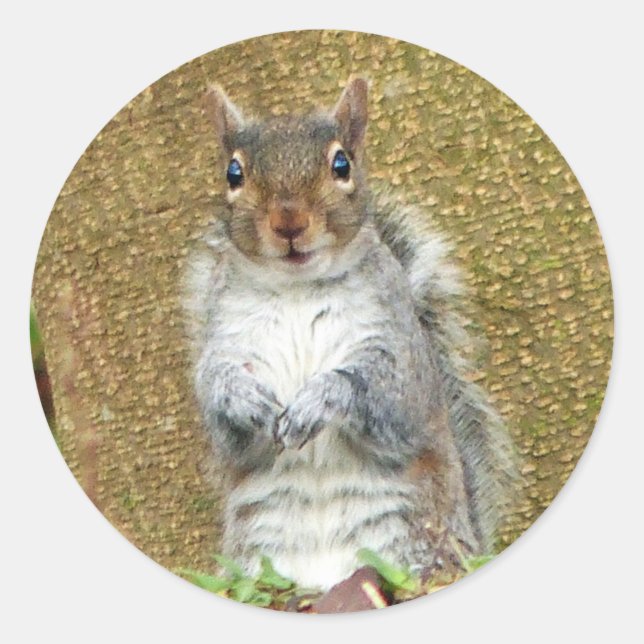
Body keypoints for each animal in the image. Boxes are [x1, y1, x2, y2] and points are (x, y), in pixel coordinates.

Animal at [183, 78, 518, 591]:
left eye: (342, 164)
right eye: (233, 173)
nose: (288, 221)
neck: (298, 288)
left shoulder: (400, 346)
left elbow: (388, 395)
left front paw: (320, 399)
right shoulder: (225, 339)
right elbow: (218, 405)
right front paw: (243, 396)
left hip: (414, 538)